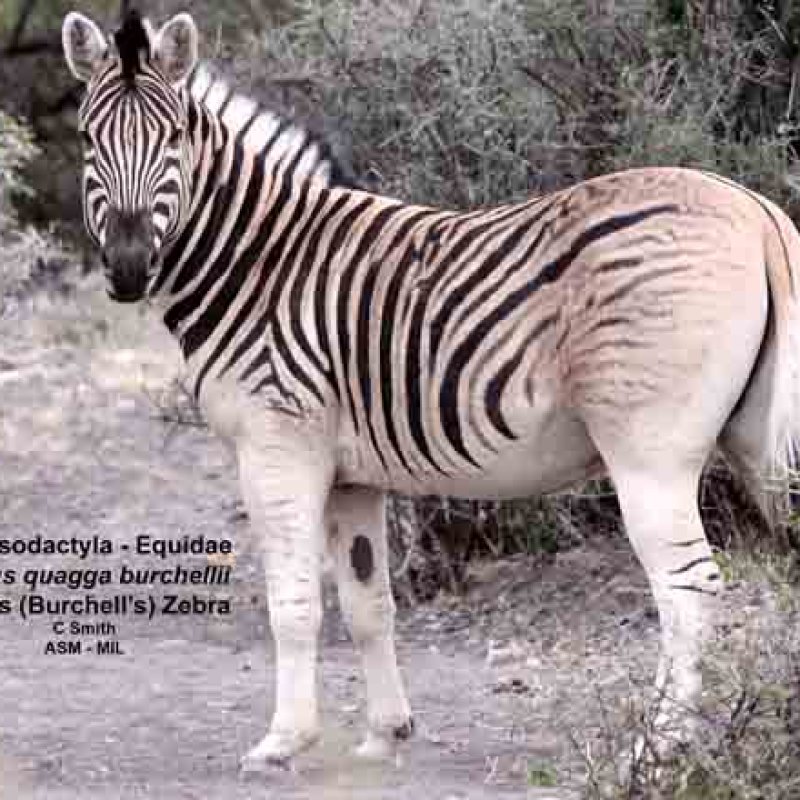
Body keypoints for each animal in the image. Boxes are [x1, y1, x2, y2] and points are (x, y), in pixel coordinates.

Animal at [62, 9, 800, 769]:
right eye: (88, 140)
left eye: (174, 137)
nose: (127, 270)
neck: (259, 264)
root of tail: (753, 209)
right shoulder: (352, 476)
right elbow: (367, 603)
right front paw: (386, 732)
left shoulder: (278, 446)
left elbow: (294, 604)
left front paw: (283, 741)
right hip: (755, 441)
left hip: (650, 453)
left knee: (687, 590)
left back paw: (661, 745)